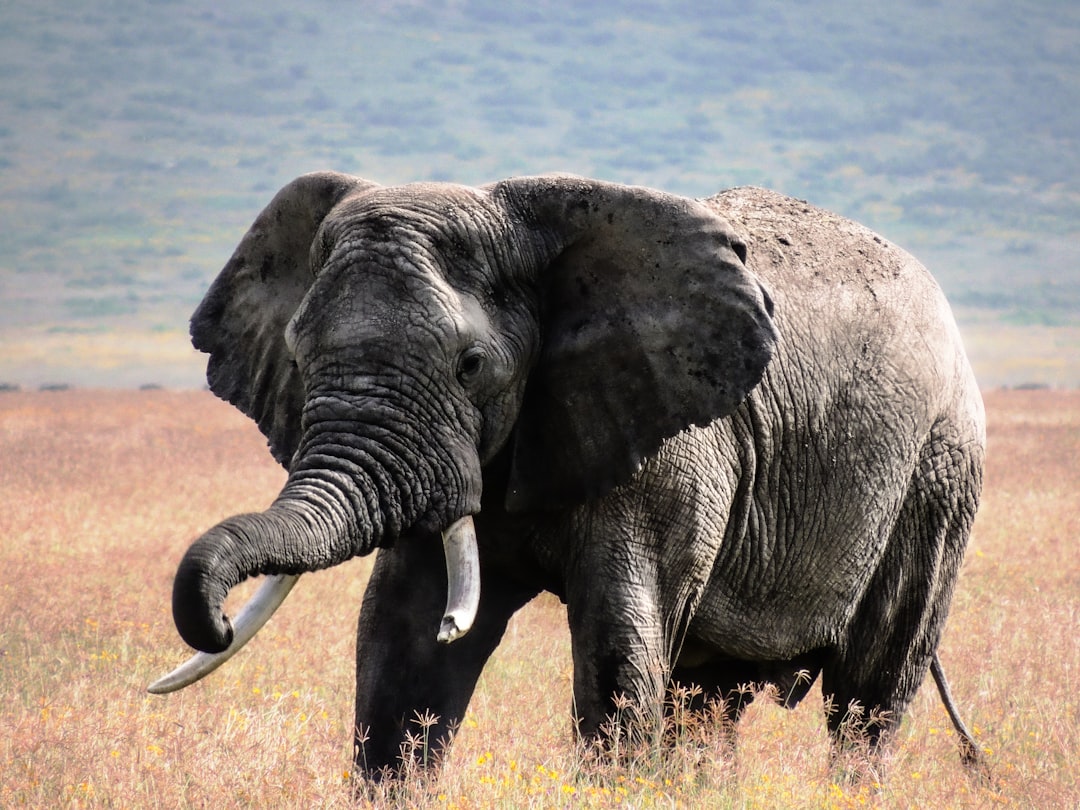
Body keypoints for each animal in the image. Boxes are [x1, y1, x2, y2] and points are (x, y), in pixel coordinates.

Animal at [150, 171, 989, 781]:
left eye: (471, 364)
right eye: (296, 355)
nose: (216, 620)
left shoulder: (670, 453)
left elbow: (619, 658)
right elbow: (403, 652)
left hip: (938, 473)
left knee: (869, 700)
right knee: (710, 703)